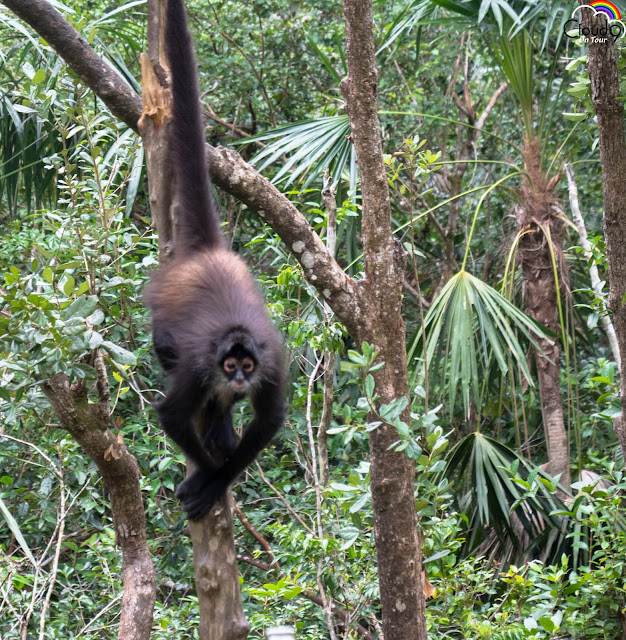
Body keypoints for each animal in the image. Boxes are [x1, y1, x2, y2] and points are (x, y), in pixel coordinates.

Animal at [144, 0, 285, 521]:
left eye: (246, 365)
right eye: (229, 365)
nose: (239, 378)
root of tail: (207, 254)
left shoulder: (272, 360)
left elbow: (269, 420)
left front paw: (216, 480)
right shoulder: (199, 363)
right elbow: (170, 413)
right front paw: (207, 475)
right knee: (165, 345)